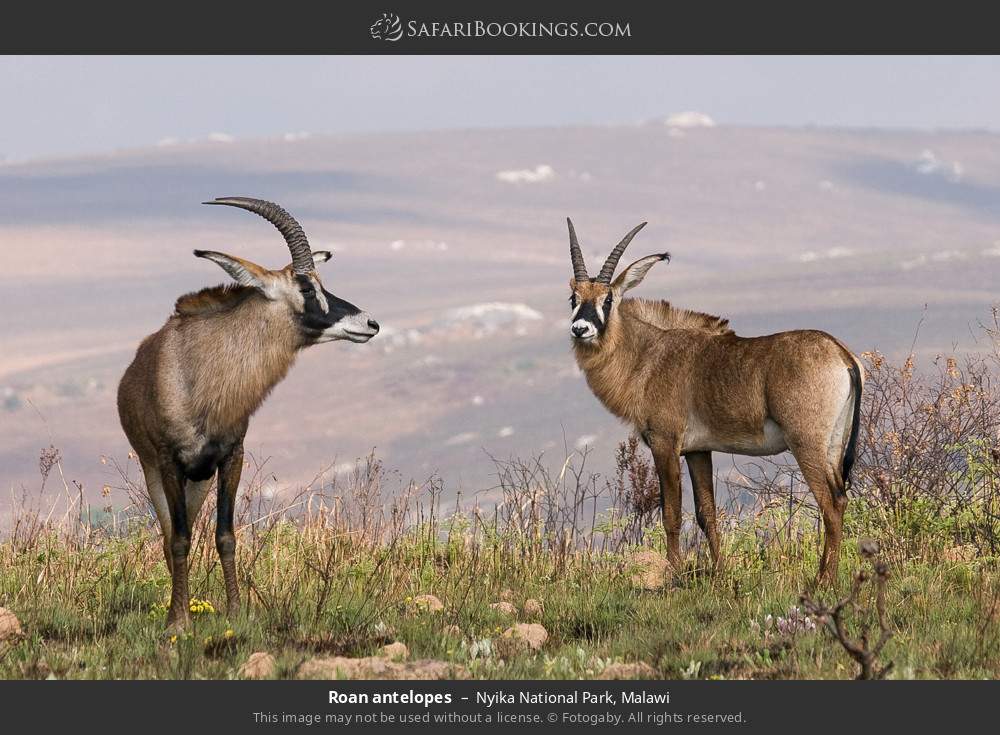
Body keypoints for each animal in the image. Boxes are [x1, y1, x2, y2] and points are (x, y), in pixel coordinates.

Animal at [118, 197, 379, 629]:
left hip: (199, 480)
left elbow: (225, 535)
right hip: (154, 470)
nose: (370, 323)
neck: (201, 374)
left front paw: (236, 611)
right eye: (306, 286)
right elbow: (180, 538)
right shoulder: (170, 462)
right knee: (169, 533)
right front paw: (178, 622)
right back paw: (177, 608)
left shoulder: (231, 457)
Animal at [565, 219, 863, 584]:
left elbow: (672, 514)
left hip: (806, 444)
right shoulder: (697, 450)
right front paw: (720, 573)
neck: (647, 354)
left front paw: (674, 575)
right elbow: (707, 513)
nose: (581, 329)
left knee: (831, 504)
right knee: (841, 499)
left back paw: (823, 581)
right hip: (833, 446)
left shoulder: (665, 443)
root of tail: (841, 354)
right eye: (574, 297)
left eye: (607, 299)